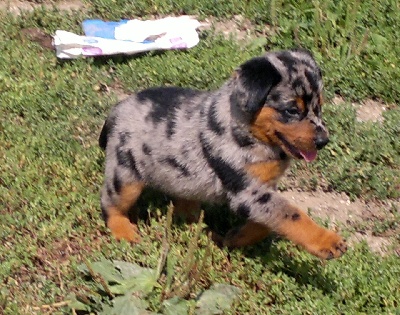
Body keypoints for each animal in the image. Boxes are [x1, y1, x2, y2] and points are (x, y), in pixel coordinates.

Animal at [99, 48, 346, 260]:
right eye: (292, 110)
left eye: (319, 107)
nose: (323, 141)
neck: (250, 133)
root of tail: (117, 109)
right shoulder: (247, 191)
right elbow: (291, 215)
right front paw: (327, 241)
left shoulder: (261, 192)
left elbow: (266, 224)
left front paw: (236, 237)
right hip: (125, 178)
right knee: (110, 205)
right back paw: (125, 233)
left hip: (183, 181)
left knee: (185, 208)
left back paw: (205, 232)